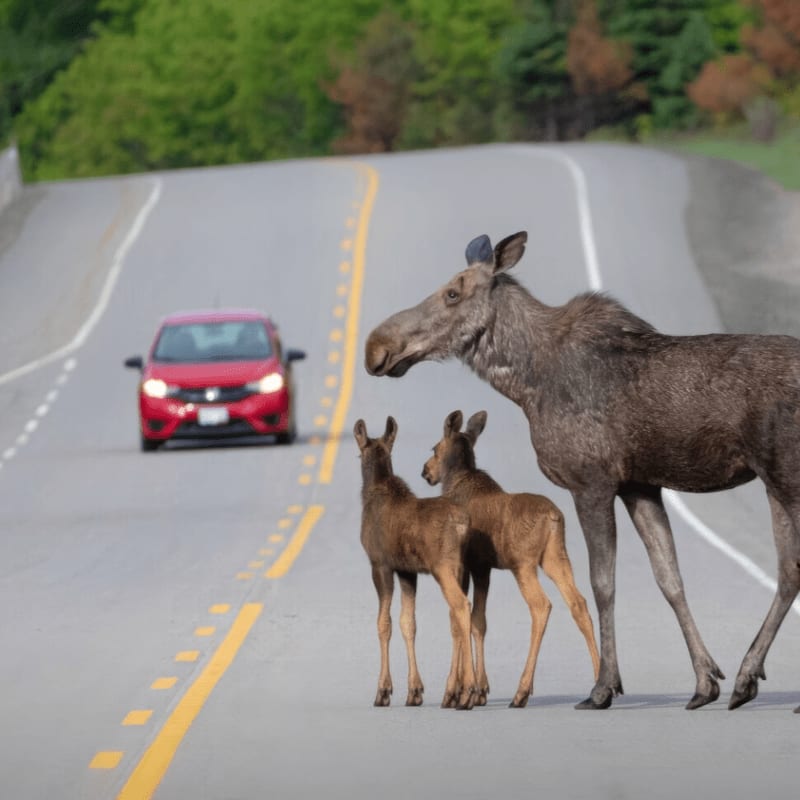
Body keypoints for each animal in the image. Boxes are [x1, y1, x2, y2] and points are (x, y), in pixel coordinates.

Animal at [354, 415, 478, 710]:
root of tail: (462, 526)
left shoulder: (380, 563)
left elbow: (383, 623)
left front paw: (383, 691)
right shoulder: (407, 570)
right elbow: (408, 623)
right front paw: (414, 691)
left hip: (443, 567)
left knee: (461, 606)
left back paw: (467, 692)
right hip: (462, 569)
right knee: (458, 617)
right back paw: (456, 692)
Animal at [422, 408, 600, 708]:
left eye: (434, 448)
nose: (425, 471)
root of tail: (553, 518)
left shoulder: (465, 564)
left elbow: (457, 621)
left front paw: (455, 692)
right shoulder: (483, 567)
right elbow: (478, 621)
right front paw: (480, 689)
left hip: (523, 564)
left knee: (541, 605)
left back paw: (522, 691)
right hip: (555, 558)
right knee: (579, 602)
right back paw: (602, 681)